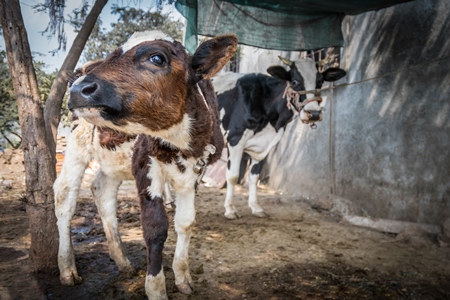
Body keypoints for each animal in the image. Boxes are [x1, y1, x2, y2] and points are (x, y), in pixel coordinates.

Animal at [213, 57, 346, 219]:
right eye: (294, 82)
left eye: (320, 82)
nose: (314, 113)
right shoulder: (235, 139)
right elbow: (232, 176)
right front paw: (230, 210)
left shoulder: (263, 145)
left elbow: (254, 177)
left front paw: (256, 207)